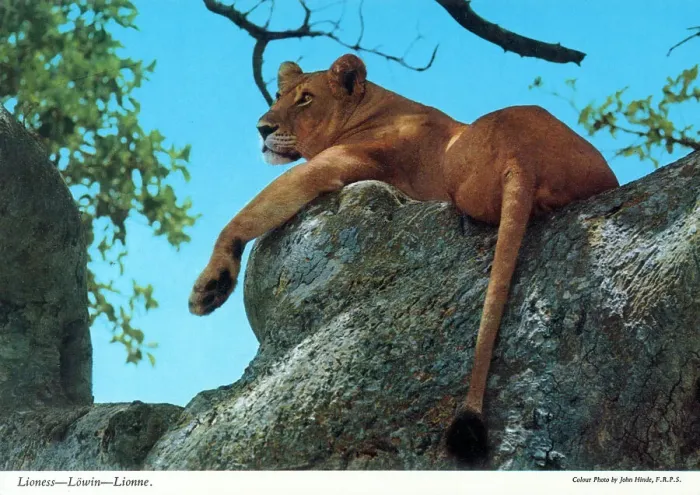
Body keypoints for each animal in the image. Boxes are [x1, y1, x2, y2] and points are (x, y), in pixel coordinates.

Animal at [188, 54, 618, 463]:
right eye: (277, 96)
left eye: (305, 99)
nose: (262, 128)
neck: (373, 106)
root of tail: (521, 155)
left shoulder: (333, 165)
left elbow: (247, 214)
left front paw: (211, 285)